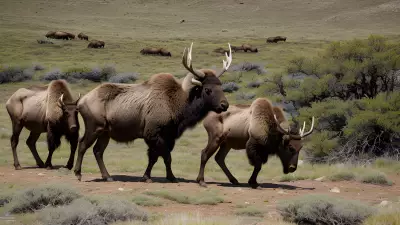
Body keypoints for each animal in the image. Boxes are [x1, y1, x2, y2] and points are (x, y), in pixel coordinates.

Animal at [73, 42, 233, 183]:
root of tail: (80, 102)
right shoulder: (152, 133)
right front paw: (169, 177)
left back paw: (107, 176)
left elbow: (156, 158)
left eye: (220, 85)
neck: (179, 108)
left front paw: (150, 176)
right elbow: (165, 156)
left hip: (105, 132)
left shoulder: (169, 136)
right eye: (207, 89)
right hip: (94, 127)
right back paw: (78, 173)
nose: (224, 105)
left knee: (97, 151)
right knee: (82, 144)